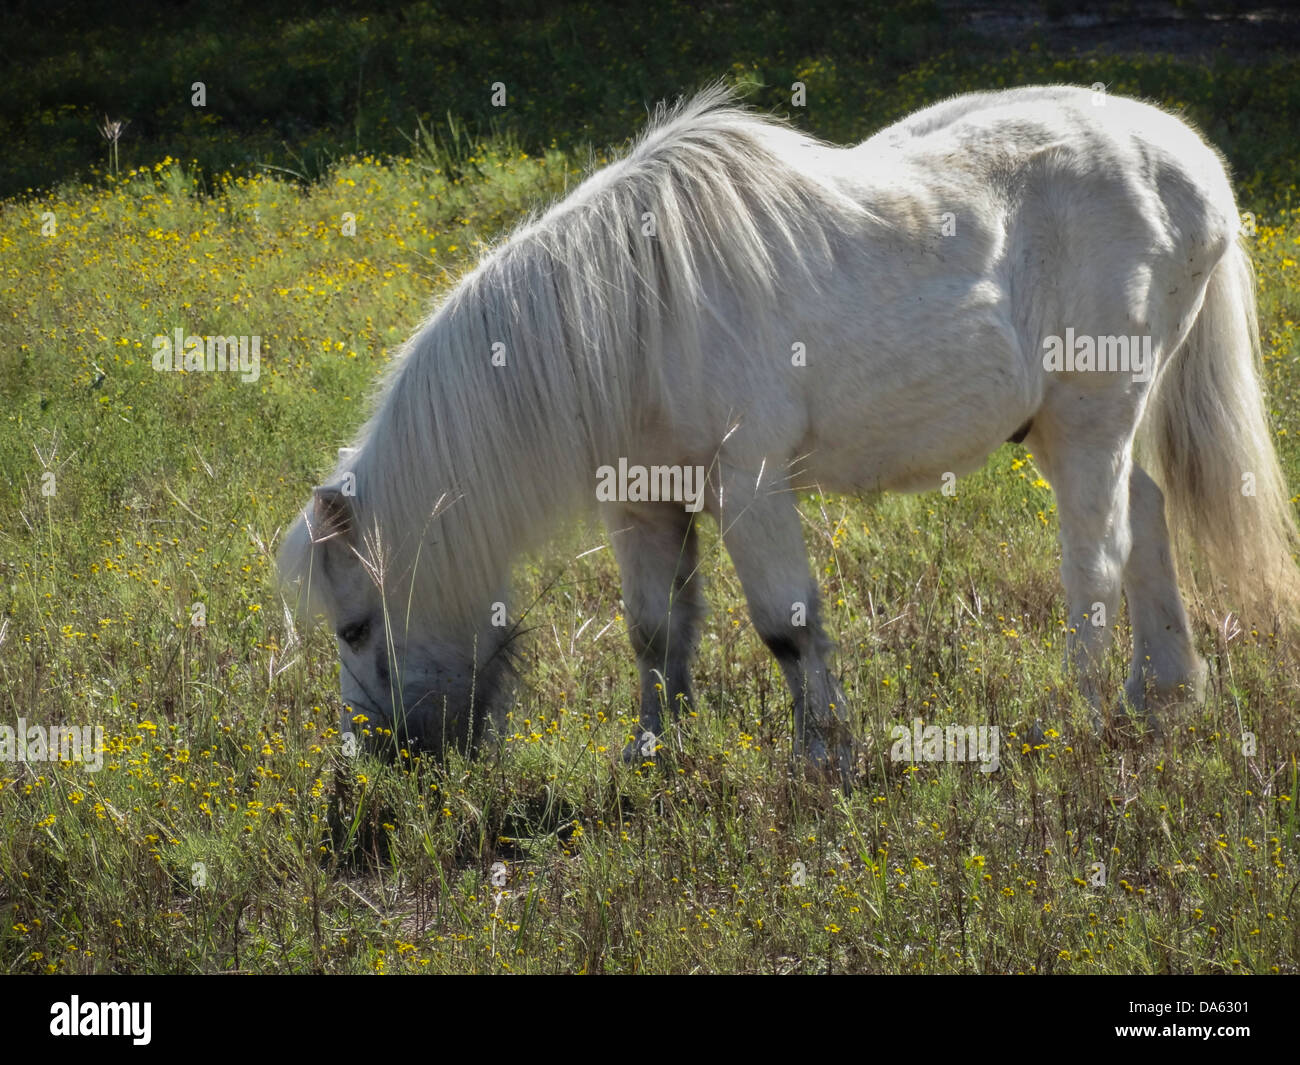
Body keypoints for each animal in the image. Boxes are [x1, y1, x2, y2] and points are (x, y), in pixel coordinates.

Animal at [278, 83, 1300, 788]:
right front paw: (653, 754)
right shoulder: (642, 502)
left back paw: (1081, 717)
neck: (624, 315)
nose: (374, 766)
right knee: (1148, 520)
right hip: (1079, 428)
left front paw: (821, 761)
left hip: (1091, 420)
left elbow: (789, 627)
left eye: (356, 623)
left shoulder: (751, 486)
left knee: (1097, 562)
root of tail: (1194, 167)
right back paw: (1164, 693)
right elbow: (656, 631)